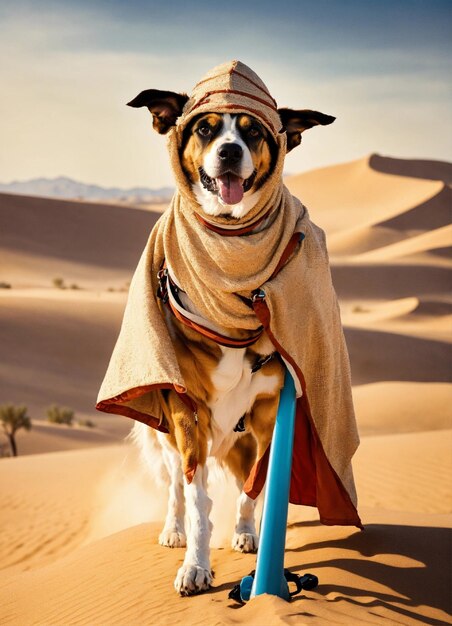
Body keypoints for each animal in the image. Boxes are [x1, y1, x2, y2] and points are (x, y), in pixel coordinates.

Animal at [125, 85, 334, 592]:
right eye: (205, 128)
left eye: (252, 131)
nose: (229, 152)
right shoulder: (188, 416)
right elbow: (198, 502)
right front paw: (196, 567)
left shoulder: (266, 418)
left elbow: (254, 489)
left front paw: (248, 536)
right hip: (167, 435)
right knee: (176, 490)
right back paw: (173, 531)